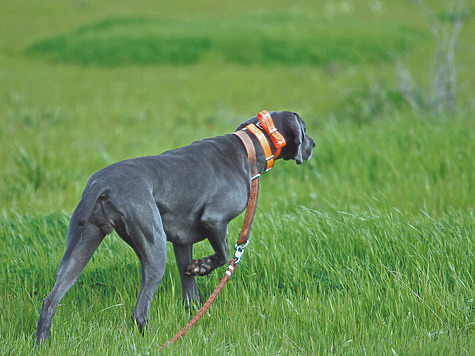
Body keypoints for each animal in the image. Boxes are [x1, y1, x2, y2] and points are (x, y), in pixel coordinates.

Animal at [36, 110, 316, 344]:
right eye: (305, 128)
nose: (313, 145)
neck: (247, 147)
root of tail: (101, 184)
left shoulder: (183, 242)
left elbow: (190, 290)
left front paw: (194, 316)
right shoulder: (214, 219)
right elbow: (225, 254)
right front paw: (202, 267)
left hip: (82, 245)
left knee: (50, 299)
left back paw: (42, 342)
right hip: (154, 247)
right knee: (139, 311)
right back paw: (152, 340)